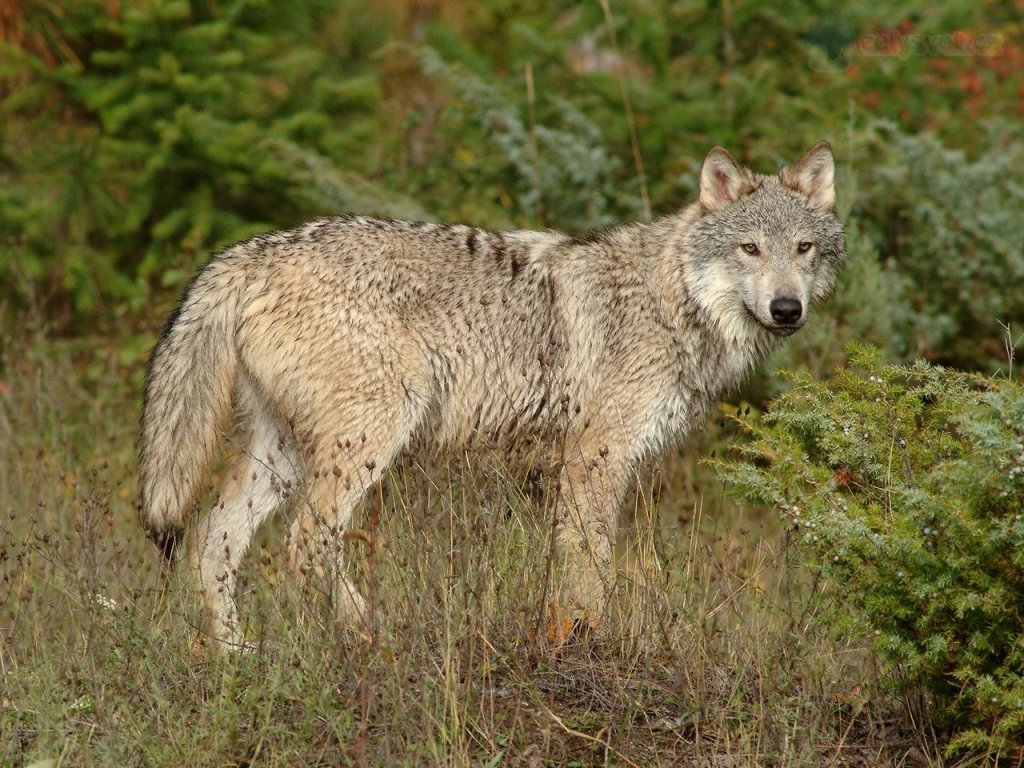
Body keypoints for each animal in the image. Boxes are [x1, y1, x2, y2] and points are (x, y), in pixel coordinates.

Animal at [139, 142, 843, 648]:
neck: (673, 300)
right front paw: (589, 645)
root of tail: (247, 253)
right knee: (305, 543)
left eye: (803, 249)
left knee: (209, 543)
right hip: (366, 441)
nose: (787, 309)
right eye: (749, 248)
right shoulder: (594, 460)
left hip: (281, 458)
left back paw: (238, 663)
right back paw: (365, 633)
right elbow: (591, 570)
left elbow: (569, 570)